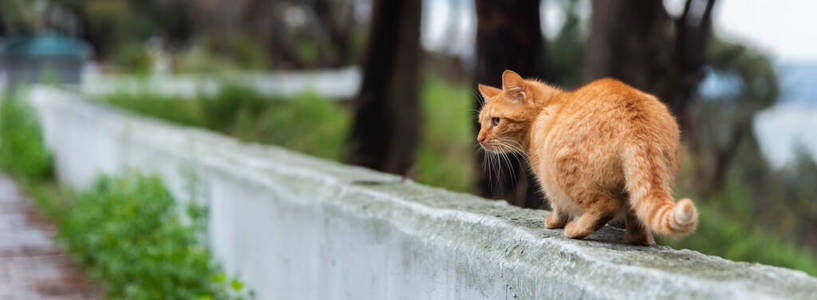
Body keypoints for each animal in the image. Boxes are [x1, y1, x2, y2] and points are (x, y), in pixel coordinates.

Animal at [478, 71, 696, 246]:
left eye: (496, 121)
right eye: (480, 123)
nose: (479, 139)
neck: (546, 108)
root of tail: (638, 125)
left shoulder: (547, 179)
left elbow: (558, 207)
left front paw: (554, 222)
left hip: (565, 171)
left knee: (606, 206)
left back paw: (575, 230)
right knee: (637, 223)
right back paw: (641, 239)